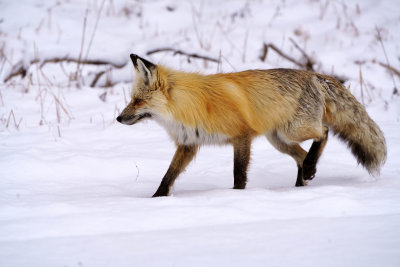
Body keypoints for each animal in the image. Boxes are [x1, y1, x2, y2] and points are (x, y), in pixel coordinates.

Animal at [117, 54, 386, 197]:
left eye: (137, 101)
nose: (118, 119)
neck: (189, 106)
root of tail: (314, 75)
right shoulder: (188, 144)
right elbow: (168, 176)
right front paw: (156, 200)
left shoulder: (242, 136)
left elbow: (239, 174)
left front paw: (237, 197)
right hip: (280, 141)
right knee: (301, 156)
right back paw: (301, 185)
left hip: (293, 130)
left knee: (324, 133)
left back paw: (308, 171)